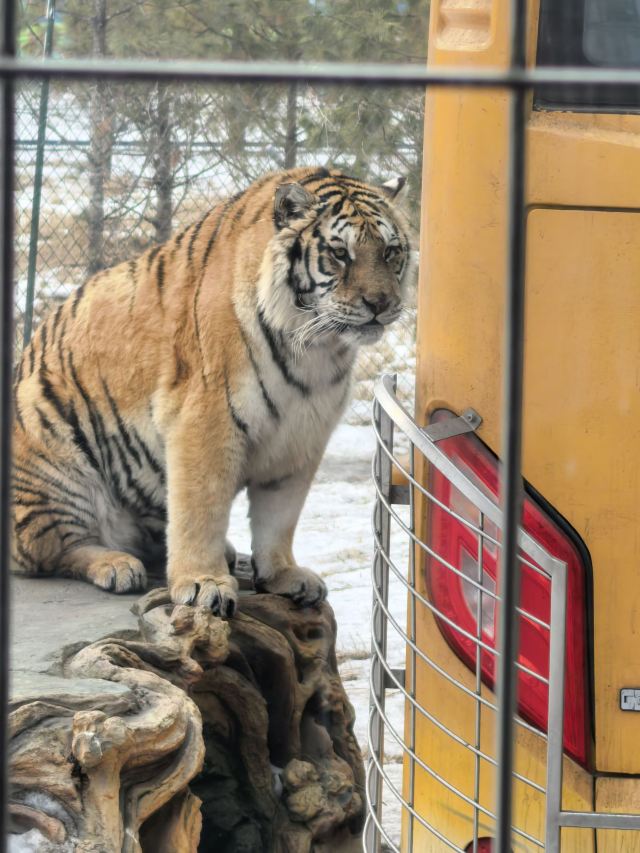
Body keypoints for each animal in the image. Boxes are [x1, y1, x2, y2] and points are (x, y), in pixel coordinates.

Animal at [11, 166, 415, 618]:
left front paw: (282, 574)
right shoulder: (205, 419)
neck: (316, 349)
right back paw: (116, 565)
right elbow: (200, 509)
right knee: (52, 549)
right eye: (340, 253)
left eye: (390, 252)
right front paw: (203, 583)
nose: (380, 303)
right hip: (51, 458)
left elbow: (280, 515)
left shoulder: (302, 434)